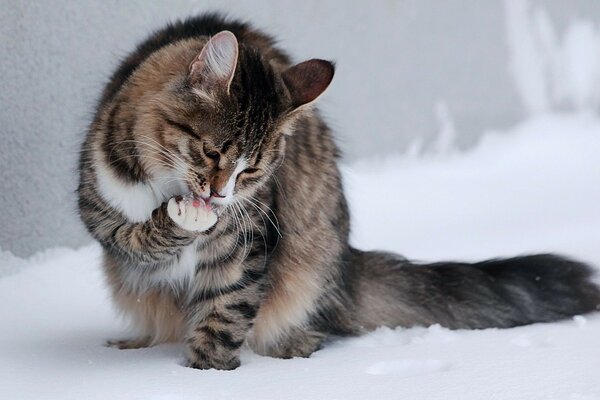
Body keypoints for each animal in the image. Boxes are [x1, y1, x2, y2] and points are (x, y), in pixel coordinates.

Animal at [78, 14, 600, 370]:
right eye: (212, 153)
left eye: (252, 172)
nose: (221, 197)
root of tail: (347, 262)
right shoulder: (98, 208)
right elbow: (138, 236)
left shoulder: (246, 243)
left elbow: (225, 314)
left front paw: (204, 373)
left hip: (310, 263)